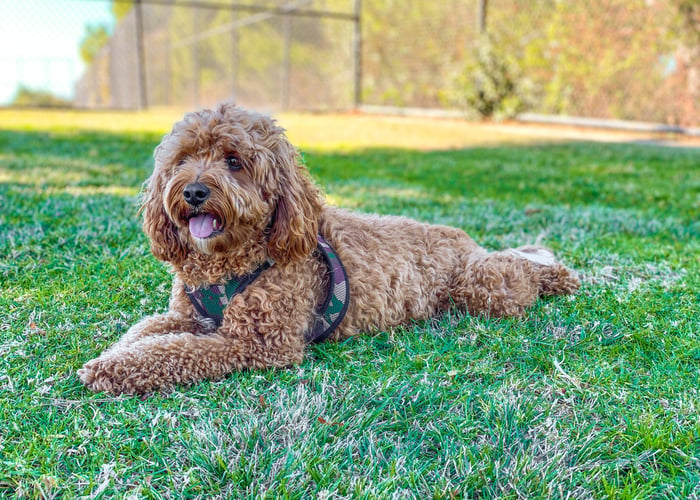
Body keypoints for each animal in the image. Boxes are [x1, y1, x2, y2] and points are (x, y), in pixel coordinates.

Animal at [78, 104, 580, 394]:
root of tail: (462, 238)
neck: (228, 263)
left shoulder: (259, 343)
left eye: (234, 161)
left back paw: (558, 275)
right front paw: (111, 355)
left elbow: (173, 351)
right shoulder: (188, 315)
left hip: (483, 287)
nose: (194, 191)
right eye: (183, 159)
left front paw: (110, 370)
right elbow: (146, 333)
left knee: (518, 272)